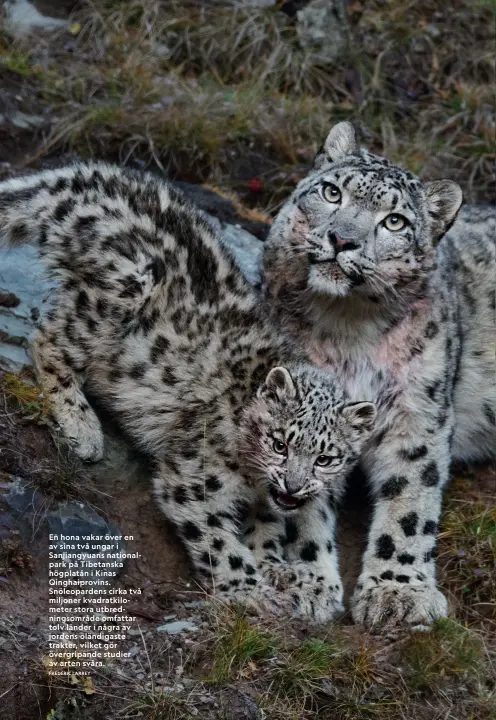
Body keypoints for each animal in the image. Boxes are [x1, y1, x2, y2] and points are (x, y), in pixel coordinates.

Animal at [0, 160, 374, 620]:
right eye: (279, 443)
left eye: (326, 458)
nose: (293, 487)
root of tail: (81, 177)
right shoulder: (193, 476)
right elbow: (218, 538)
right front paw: (252, 590)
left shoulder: (263, 501)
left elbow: (265, 529)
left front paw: (277, 570)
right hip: (120, 289)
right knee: (48, 338)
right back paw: (82, 426)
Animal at [262, 124, 494, 632]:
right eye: (332, 192)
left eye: (394, 222)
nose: (342, 239)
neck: (348, 328)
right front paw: (306, 582)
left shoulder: (418, 411)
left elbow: (410, 501)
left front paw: (397, 594)